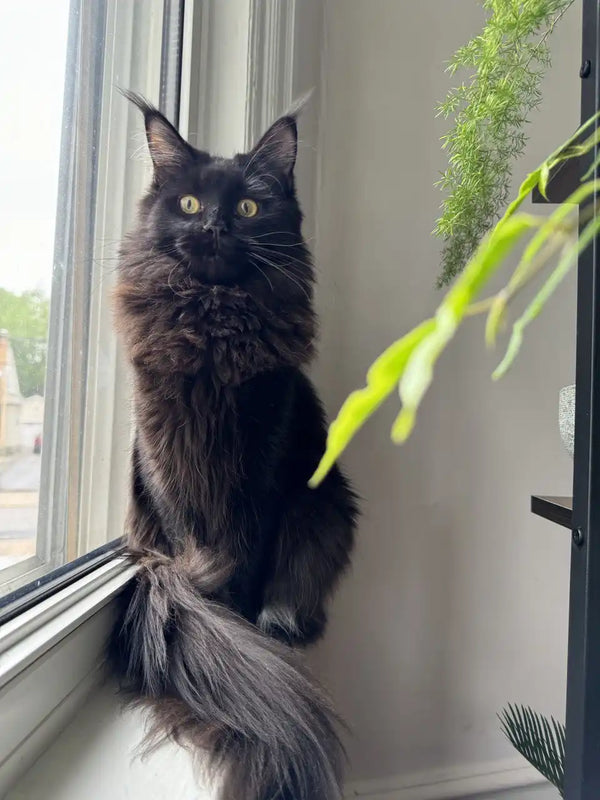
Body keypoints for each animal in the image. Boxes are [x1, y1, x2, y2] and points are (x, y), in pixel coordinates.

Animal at [110, 95, 358, 800]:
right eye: (191, 204)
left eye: (248, 207)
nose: (217, 226)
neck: (211, 326)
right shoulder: (165, 467)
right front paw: (218, 623)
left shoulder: (264, 476)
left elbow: (246, 569)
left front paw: (243, 632)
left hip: (325, 509)